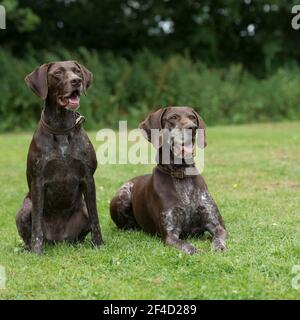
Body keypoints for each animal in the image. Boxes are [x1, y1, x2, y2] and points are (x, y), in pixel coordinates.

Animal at [16, 61, 103, 254]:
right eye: (57, 73)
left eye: (77, 71)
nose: (76, 81)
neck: (62, 127)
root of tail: (59, 240)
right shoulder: (38, 181)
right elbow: (37, 226)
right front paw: (37, 252)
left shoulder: (88, 178)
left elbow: (95, 219)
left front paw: (99, 245)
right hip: (24, 209)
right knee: (30, 233)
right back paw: (29, 248)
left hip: (82, 209)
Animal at [110, 107, 227, 255]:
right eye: (173, 117)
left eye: (192, 117)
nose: (193, 128)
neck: (181, 174)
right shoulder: (170, 235)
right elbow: (188, 246)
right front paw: (198, 251)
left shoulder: (217, 225)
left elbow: (218, 238)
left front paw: (218, 247)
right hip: (123, 195)